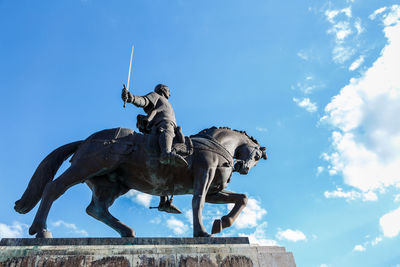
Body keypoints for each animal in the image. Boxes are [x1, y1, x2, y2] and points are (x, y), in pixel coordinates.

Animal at [15, 126, 268, 238]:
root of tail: (86, 140)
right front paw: (203, 232)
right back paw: (41, 230)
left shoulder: (215, 190)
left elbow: (242, 199)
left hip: (112, 185)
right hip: (85, 168)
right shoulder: (203, 175)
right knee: (54, 188)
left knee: (96, 209)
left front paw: (222, 223)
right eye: (257, 155)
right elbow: (198, 201)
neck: (216, 145)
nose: (244, 168)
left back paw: (126, 231)